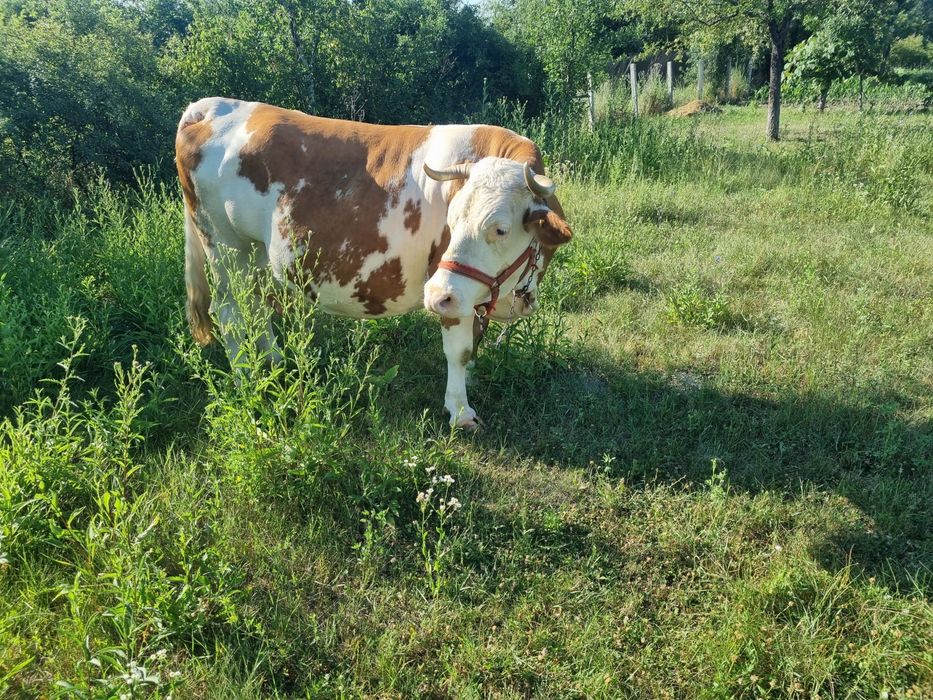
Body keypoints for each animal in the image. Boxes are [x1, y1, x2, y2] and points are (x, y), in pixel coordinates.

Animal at [175, 97, 572, 428]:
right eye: (452, 219)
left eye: (501, 229)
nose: (434, 295)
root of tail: (209, 106)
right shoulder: (450, 292)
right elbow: (458, 351)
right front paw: (460, 411)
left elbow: (472, 345)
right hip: (224, 246)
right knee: (230, 313)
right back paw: (247, 379)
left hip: (252, 253)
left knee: (255, 307)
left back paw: (273, 362)